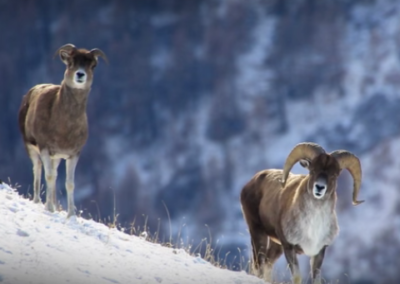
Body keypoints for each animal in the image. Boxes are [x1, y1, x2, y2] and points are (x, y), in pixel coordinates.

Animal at [18, 43, 107, 217]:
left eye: (92, 65)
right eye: (70, 63)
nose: (80, 75)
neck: (64, 127)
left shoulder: (72, 155)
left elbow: (69, 183)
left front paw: (70, 214)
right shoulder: (45, 149)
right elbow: (49, 177)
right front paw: (49, 208)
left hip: (56, 158)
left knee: (53, 173)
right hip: (31, 148)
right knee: (38, 169)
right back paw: (39, 202)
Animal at [239, 143, 364, 284]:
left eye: (334, 175)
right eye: (312, 170)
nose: (319, 188)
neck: (312, 226)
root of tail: (251, 182)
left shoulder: (319, 252)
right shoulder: (289, 248)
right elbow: (297, 277)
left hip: (276, 245)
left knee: (267, 263)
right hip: (258, 233)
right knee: (259, 264)